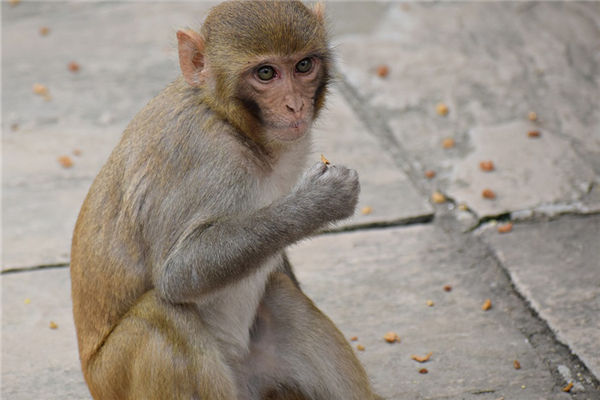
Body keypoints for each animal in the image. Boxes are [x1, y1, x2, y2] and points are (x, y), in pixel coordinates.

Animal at [70, 1, 380, 398]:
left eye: (303, 66)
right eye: (266, 73)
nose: (295, 106)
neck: (231, 121)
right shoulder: (202, 157)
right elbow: (177, 274)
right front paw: (319, 202)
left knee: (280, 294)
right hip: (115, 377)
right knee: (162, 315)